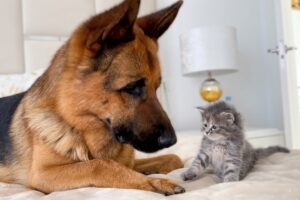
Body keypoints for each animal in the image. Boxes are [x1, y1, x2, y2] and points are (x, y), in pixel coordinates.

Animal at [0, 0, 184, 195]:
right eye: (131, 87)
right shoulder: (43, 173)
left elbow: (174, 158)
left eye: (157, 88)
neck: (76, 122)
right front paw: (157, 182)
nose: (172, 140)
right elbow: (99, 165)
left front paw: (151, 173)